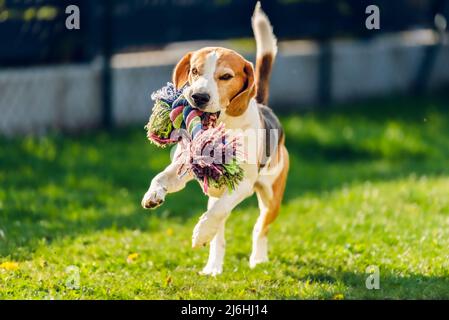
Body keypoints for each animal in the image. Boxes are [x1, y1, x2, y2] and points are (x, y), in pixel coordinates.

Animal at [140, 2, 288, 276]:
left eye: (226, 77)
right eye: (195, 71)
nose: (198, 97)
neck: (222, 126)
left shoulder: (243, 184)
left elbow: (220, 212)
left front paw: (200, 233)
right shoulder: (183, 169)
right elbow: (161, 178)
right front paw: (153, 194)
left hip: (271, 198)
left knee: (259, 227)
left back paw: (258, 259)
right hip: (216, 193)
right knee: (219, 233)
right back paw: (213, 266)